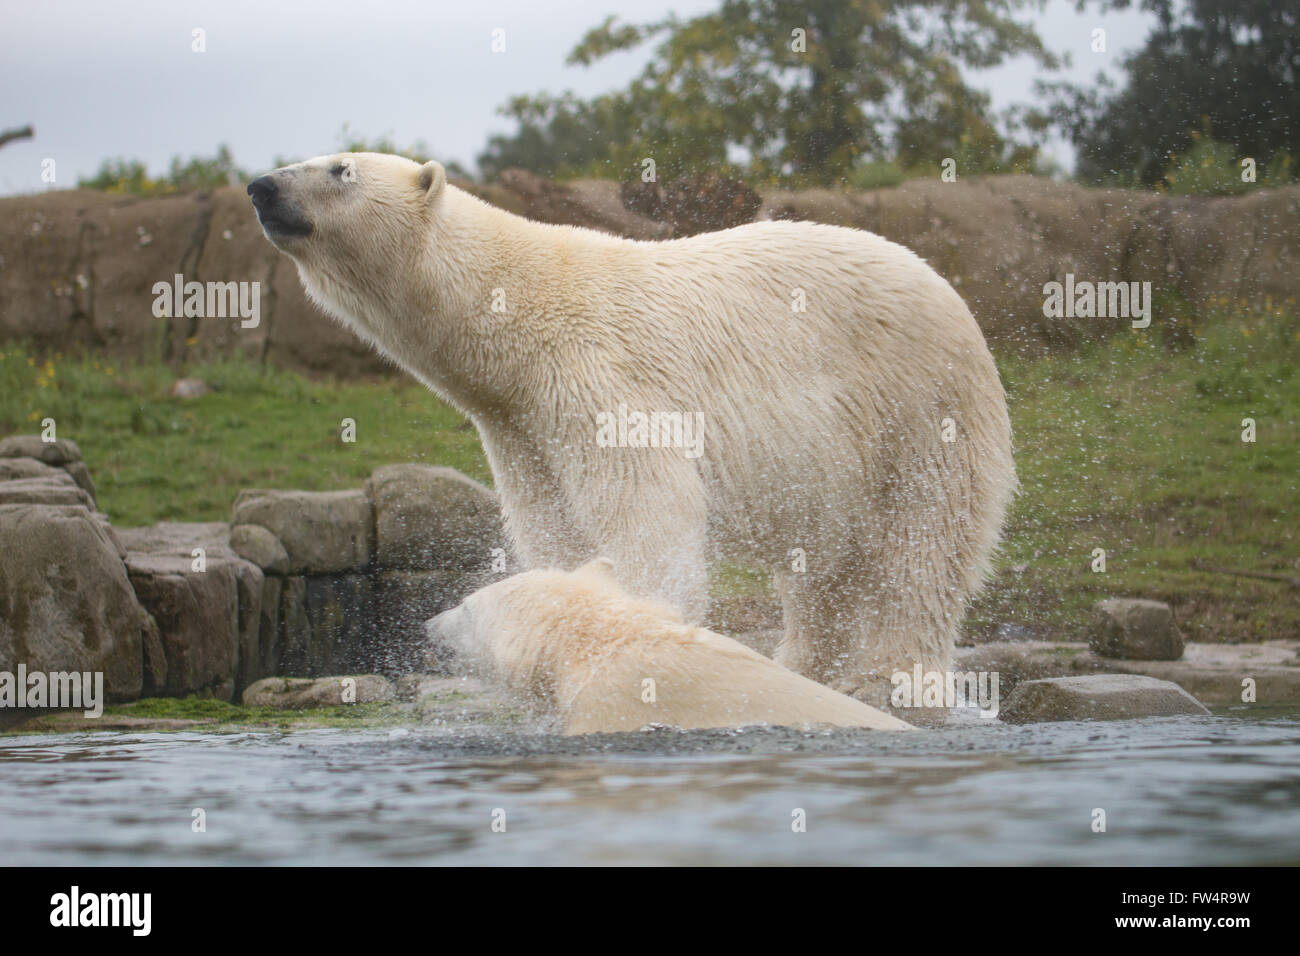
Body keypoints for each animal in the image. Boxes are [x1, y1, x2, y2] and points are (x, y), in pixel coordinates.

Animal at [245, 151, 1013, 717]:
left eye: (339, 168)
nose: (260, 186)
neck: (516, 318)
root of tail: (951, 294)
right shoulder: (521, 432)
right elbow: (556, 531)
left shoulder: (597, 380)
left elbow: (646, 516)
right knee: (820, 567)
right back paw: (801, 668)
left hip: (918, 408)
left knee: (919, 547)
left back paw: (884, 680)